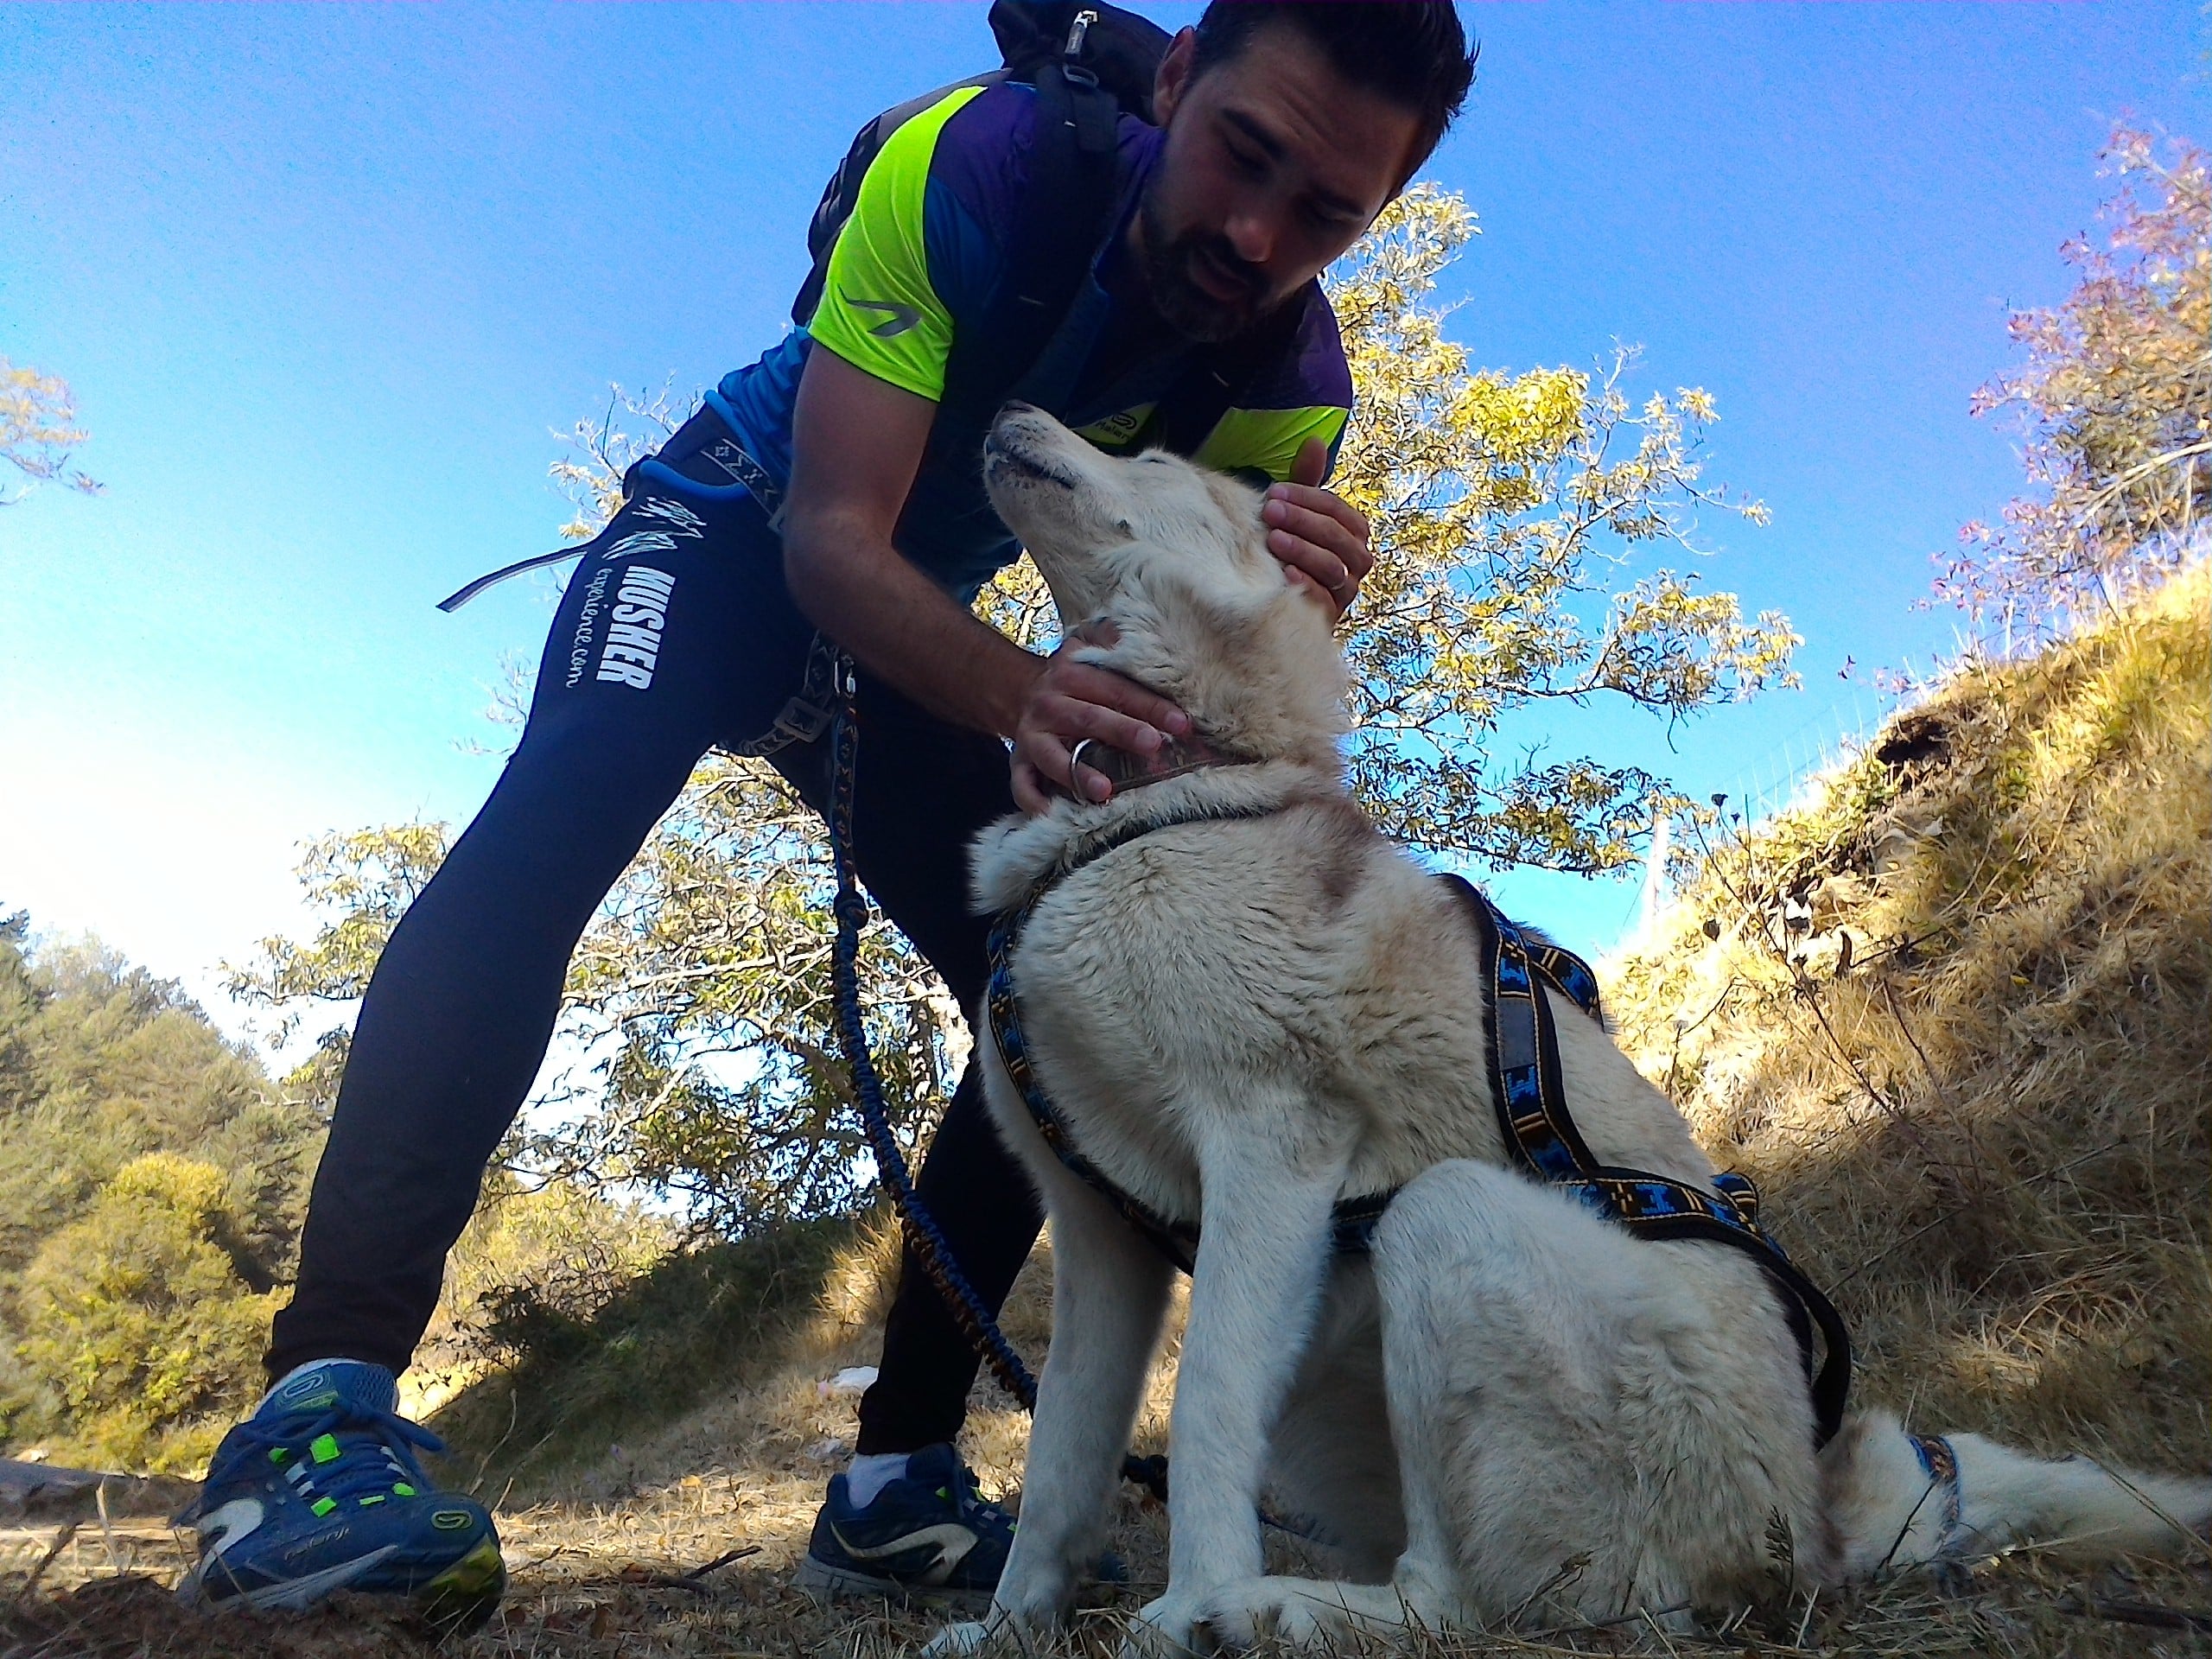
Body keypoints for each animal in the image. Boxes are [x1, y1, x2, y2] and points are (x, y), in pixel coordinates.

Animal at [919, 409, 2212, 1654]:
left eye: (1148, 454)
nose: (1009, 404)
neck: (1142, 812)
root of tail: (1817, 1523)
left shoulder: (1267, 1152)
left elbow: (1201, 1417)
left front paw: (1186, 1602)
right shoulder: (1099, 1231)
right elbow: (1061, 1465)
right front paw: (1010, 1629)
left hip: (1443, 1221)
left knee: (1467, 1599)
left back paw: (1269, 1612)